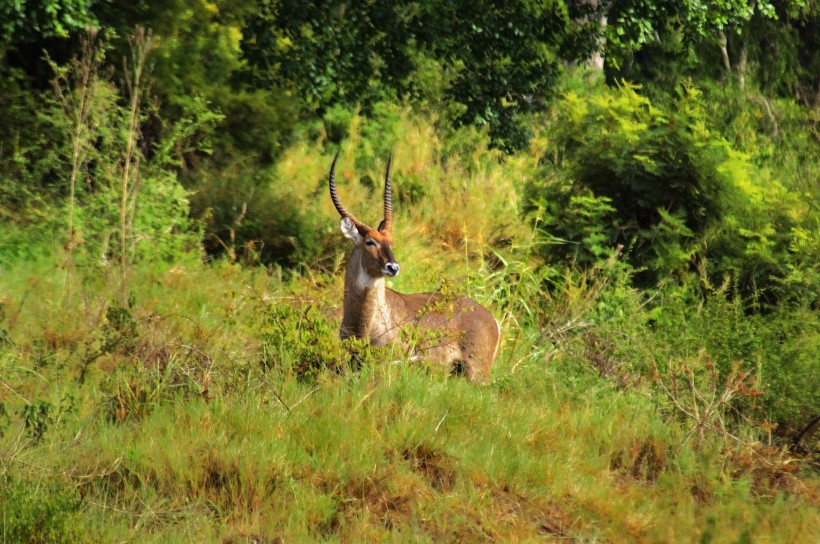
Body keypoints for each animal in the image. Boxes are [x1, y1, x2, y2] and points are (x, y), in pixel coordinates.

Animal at [328, 153, 500, 382]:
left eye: (391, 241)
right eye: (370, 242)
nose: (393, 267)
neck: (363, 323)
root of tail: (491, 318)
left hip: (475, 374)